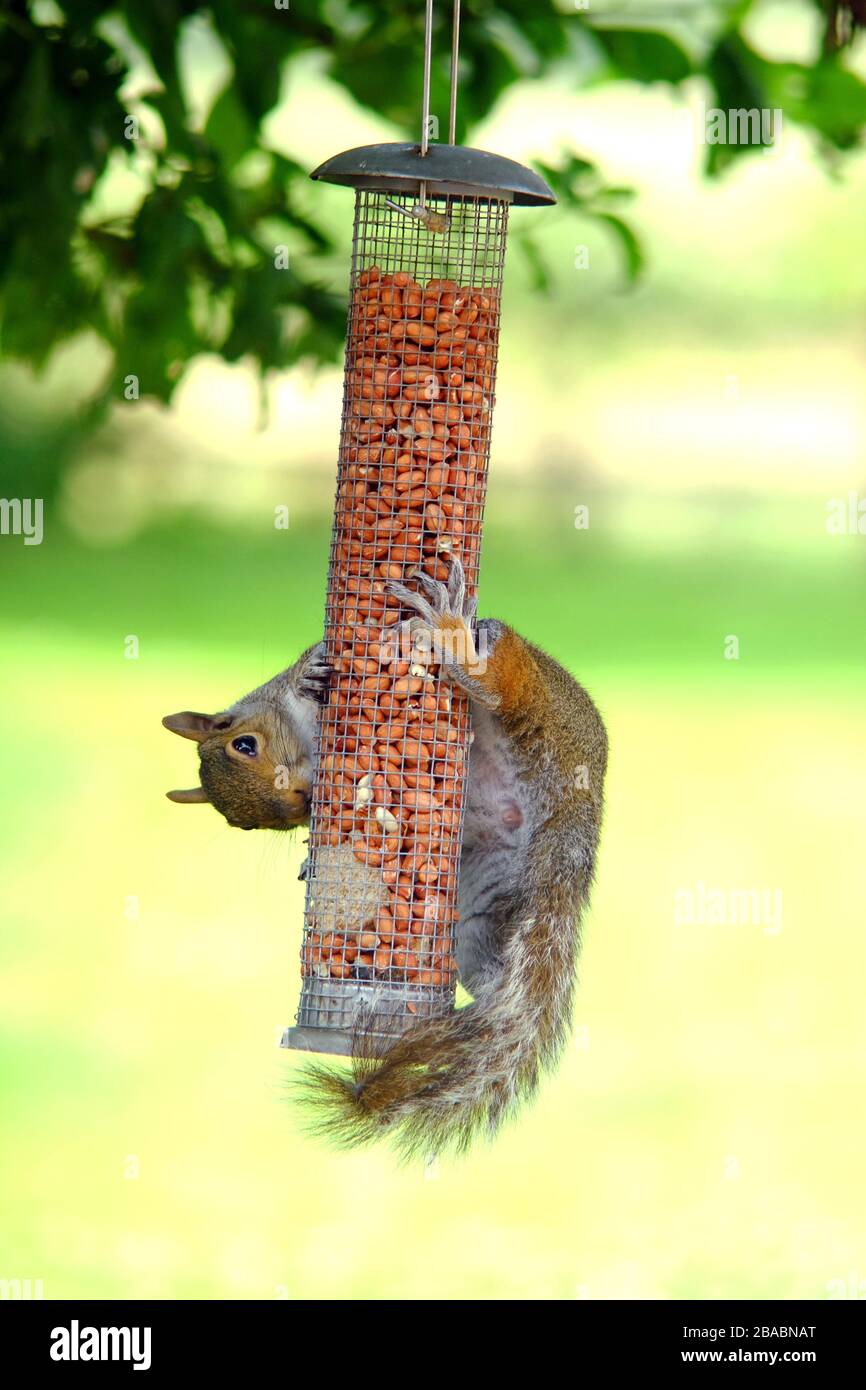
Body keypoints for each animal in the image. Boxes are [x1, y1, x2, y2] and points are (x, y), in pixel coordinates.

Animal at [163, 557, 608, 1157]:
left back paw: (451, 631)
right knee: (503, 990)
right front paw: (307, 859)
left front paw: (311, 677)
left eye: (245, 744)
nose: (299, 799)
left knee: (497, 684)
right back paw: (454, 1026)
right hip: (486, 909)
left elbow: (303, 670)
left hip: (535, 704)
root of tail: (579, 804)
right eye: (249, 823)